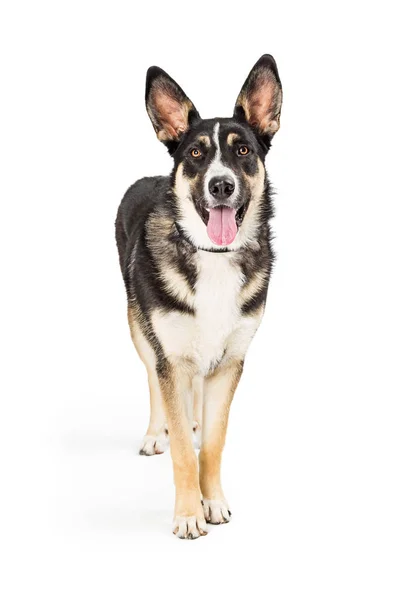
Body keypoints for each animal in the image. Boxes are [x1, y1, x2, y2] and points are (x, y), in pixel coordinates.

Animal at [115, 54, 282, 536]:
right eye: (195, 154)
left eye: (243, 151)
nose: (221, 185)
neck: (212, 255)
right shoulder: (169, 354)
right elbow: (182, 454)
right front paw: (189, 515)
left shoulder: (230, 363)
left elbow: (213, 442)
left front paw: (215, 502)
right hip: (140, 329)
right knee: (154, 380)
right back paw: (159, 431)